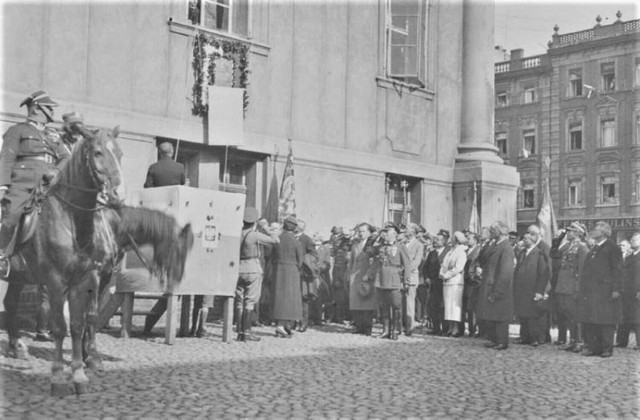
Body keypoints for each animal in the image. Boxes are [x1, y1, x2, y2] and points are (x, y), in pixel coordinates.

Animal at [2, 126, 192, 396]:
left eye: (120, 153)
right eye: (98, 153)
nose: (118, 194)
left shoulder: (86, 279)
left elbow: (80, 322)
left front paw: (82, 369)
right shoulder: (60, 281)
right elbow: (61, 325)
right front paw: (60, 375)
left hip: (19, 276)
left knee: (10, 303)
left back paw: (16, 347)